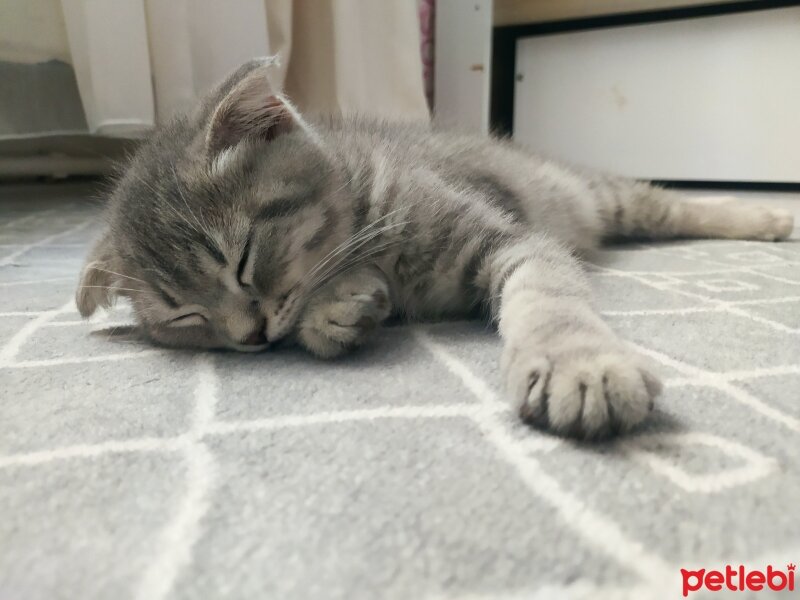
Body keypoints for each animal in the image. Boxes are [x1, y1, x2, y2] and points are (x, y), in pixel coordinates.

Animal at [76, 58, 792, 438]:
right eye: (185, 316)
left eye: (244, 258)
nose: (248, 338)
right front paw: (342, 306)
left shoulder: (511, 236)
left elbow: (548, 296)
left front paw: (579, 363)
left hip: (603, 196)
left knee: (666, 203)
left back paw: (764, 216)